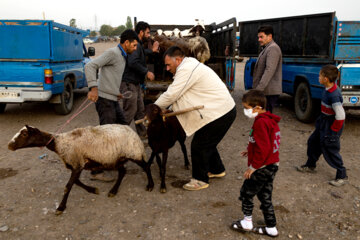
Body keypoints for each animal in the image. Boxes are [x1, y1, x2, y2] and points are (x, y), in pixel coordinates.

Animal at [7, 124, 153, 215]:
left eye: (24, 134)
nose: (9, 146)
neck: (59, 144)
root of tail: (133, 132)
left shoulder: (77, 164)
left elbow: (68, 186)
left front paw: (60, 208)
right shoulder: (77, 165)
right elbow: (75, 182)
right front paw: (93, 189)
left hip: (133, 153)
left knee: (145, 166)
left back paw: (150, 185)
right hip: (115, 158)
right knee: (122, 172)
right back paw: (113, 191)